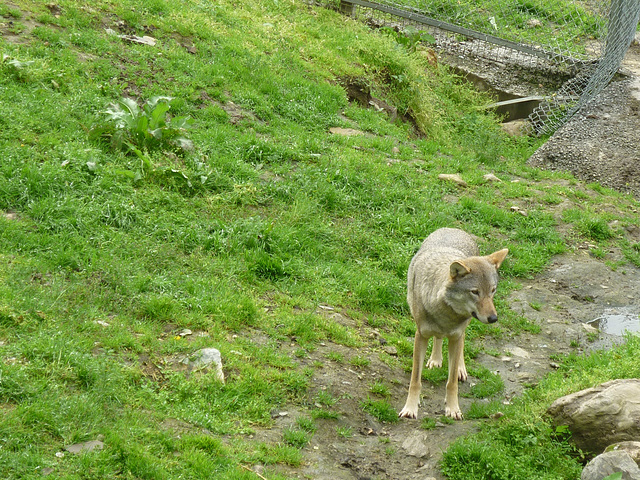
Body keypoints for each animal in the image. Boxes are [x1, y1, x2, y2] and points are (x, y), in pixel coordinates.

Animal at [398, 229, 508, 420]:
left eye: (492, 290)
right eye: (475, 292)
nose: (494, 318)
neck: (446, 315)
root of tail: (453, 228)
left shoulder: (456, 336)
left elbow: (451, 383)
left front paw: (453, 409)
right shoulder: (420, 335)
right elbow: (415, 380)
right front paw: (410, 409)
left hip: (463, 330)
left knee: (460, 345)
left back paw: (460, 369)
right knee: (439, 338)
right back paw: (435, 359)